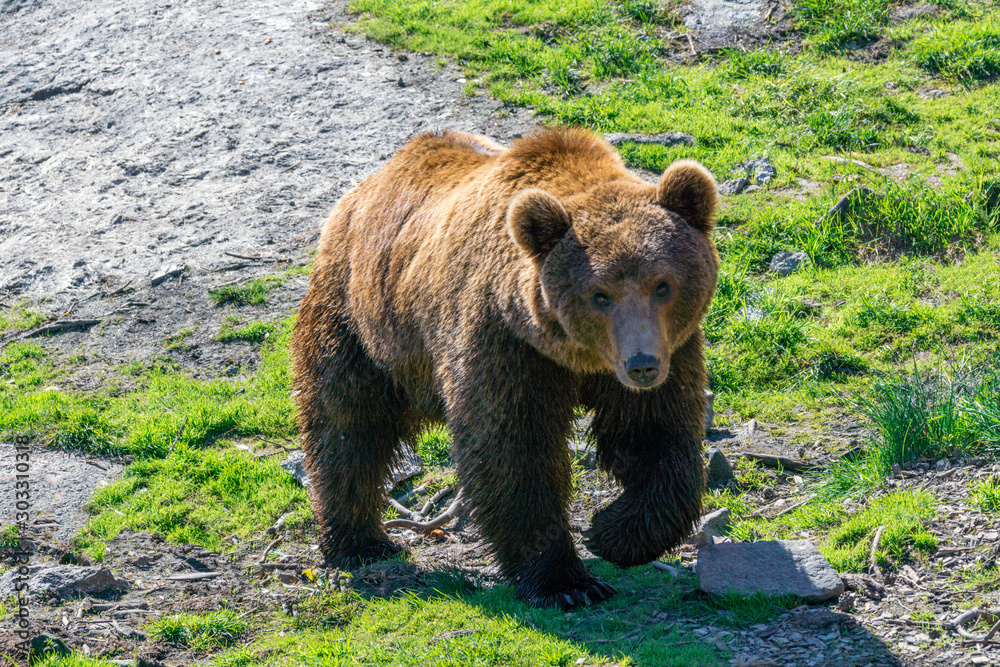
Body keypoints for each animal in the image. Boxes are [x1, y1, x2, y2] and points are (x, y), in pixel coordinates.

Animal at [290, 125, 720, 612]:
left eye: (662, 285)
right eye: (600, 294)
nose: (642, 365)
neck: (575, 355)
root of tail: (366, 187)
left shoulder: (667, 350)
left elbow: (655, 435)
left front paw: (613, 532)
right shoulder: (505, 343)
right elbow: (512, 449)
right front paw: (566, 582)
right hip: (363, 322)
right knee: (347, 425)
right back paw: (358, 542)